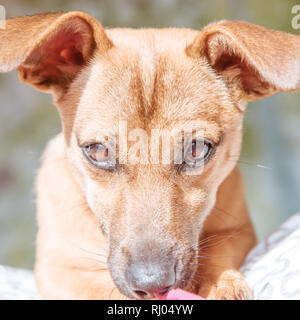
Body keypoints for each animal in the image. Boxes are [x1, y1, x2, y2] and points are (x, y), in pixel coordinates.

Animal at [0, 11, 300, 300]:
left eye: (197, 148)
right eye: (97, 151)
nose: (152, 283)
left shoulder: (239, 232)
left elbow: (218, 250)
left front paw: (219, 283)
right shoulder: (61, 269)